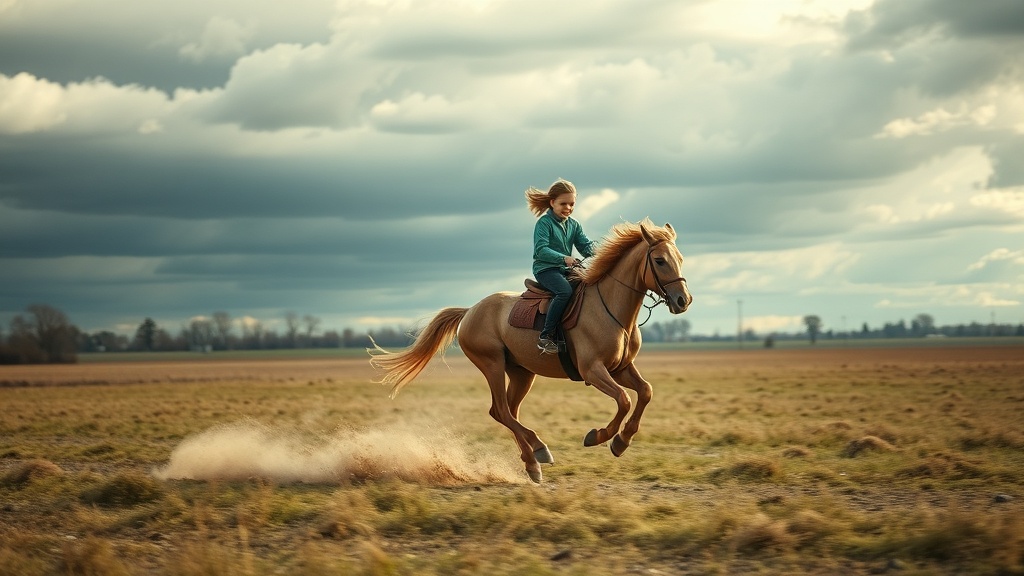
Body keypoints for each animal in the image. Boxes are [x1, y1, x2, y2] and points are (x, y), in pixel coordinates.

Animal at [368, 218, 692, 483]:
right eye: (660, 260)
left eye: (679, 258)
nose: (683, 300)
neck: (610, 309)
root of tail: (470, 311)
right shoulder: (593, 371)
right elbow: (624, 400)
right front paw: (600, 436)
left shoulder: (621, 368)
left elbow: (645, 391)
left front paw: (621, 442)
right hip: (492, 365)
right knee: (501, 410)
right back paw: (539, 452)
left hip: (522, 374)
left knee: (506, 412)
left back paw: (531, 460)